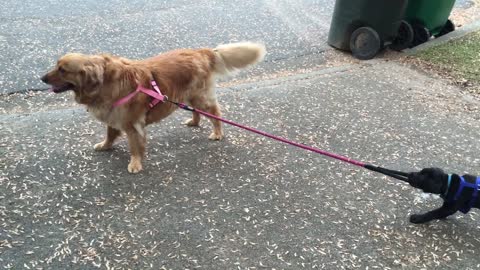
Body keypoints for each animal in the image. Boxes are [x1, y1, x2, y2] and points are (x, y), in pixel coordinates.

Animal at [41, 42, 266, 173]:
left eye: (63, 70)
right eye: (56, 66)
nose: (42, 78)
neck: (105, 82)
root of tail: (201, 52)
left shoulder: (132, 123)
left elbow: (134, 145)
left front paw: (135, 164)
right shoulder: (114, 114)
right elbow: (110, 133)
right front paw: (105, 146)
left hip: (200, 97)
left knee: (215, 113)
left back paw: (217, 132)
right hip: (190, 96)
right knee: (197, 111)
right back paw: (194, 122)